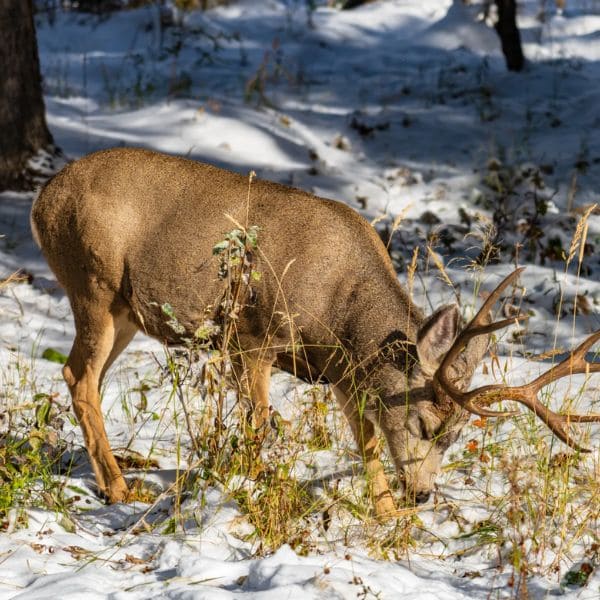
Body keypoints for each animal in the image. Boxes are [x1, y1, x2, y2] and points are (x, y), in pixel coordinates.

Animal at [30, 148, 600, 516]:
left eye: (456, 436)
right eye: (423, 424)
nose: (422, 495)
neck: (340, 308)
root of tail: (42, 201)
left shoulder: (343, 372)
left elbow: (367, 443)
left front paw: (388, 516)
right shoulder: (252, 335)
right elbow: (259, 426)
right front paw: (250, 484)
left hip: (125, 310)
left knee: (87, 378)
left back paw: (116, 477)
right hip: (94, 283)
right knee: (78, 375)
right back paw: (120, 491)